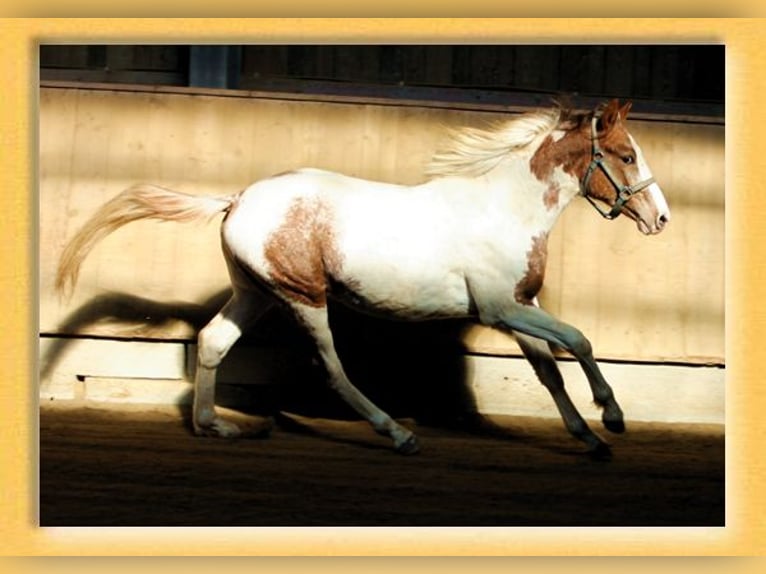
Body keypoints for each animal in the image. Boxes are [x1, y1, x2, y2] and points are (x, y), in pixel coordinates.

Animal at [57, 98, 672, 460]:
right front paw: (613, 417)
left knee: (211, 342)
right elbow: (579, 340)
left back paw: (216, 428)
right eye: (626, 155)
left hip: (255, 292)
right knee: (332, 368)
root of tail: (237, 199)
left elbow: (550, 371)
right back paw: (397, 433)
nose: (661, 218)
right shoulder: (501, 308)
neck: (505, 208)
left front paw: (590, 438)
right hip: (303, 295)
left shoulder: (522, 304)